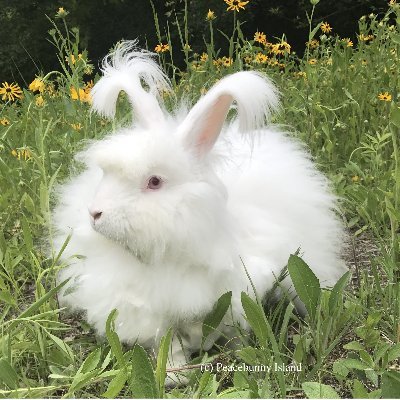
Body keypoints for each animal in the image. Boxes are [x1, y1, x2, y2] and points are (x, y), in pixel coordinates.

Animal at [51, 41, 346, 372]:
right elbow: (166, 344)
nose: (95, 214)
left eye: (154, 182)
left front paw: (231, 353)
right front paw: (174, 372)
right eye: (105, 175)